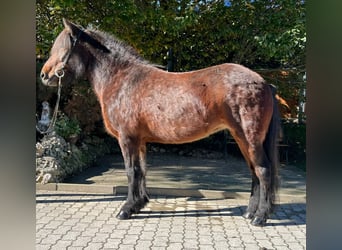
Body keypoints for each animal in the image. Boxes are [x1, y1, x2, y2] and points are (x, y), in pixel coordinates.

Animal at [40, 19, 280, 227]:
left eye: (62, 48)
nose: (44, 75)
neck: (122, 79)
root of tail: (264, 83)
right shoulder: (139, 140)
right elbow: (141, 171)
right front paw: (138, 205)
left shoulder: (127, 139)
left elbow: (131, 171)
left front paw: (125, 210)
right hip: (241, 139)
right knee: (254, 172)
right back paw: (249, 213)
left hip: (250, 139)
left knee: (263, 170)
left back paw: (260, 217)